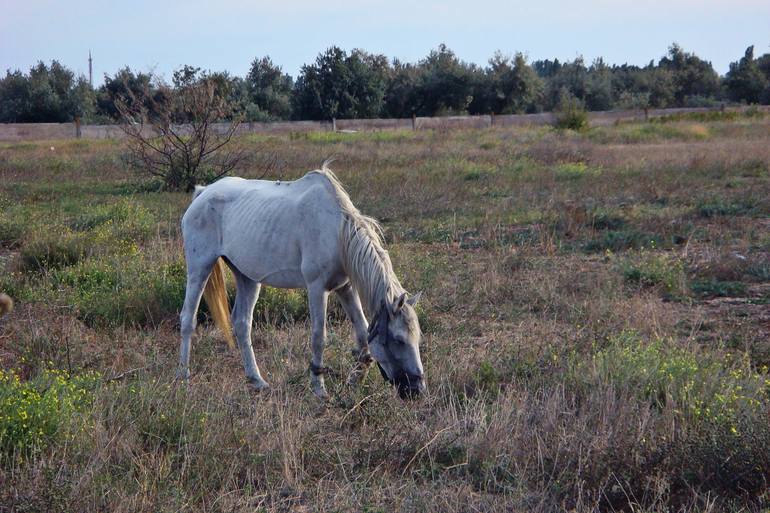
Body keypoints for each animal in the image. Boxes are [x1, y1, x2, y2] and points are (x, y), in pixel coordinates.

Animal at [176, 162, 424, 398]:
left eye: (417, 338)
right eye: (399, 340)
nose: (417, 390)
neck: (338, 231)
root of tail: (203, 192)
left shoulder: (346, 288)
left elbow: (363, 334)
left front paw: (355, 380)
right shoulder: (317, 288)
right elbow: (318, 337)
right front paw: (319, 388)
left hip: (247, 277)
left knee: (242, 323)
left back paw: (256, 380)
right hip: (200, 268)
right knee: (188, 318)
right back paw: (184, 377)